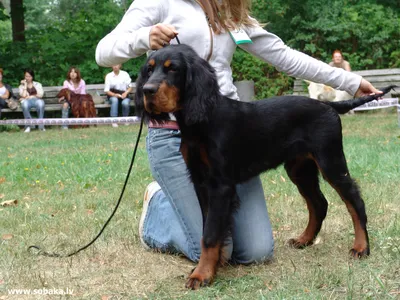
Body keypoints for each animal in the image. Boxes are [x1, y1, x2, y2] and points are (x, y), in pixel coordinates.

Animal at [134, 44, 394, 288]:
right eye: (149, 70)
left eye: (173, 69)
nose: (147, 91)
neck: (202, 121)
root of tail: (330, 107)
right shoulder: (200, 182)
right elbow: (208, 228)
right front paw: (215, 265)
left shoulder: (220, 186)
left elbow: (209, 234)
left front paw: (201, 274)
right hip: (300, 168)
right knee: (319, 203)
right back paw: (304, 239)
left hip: (330, 161)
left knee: (354, 201)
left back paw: (361, 247)